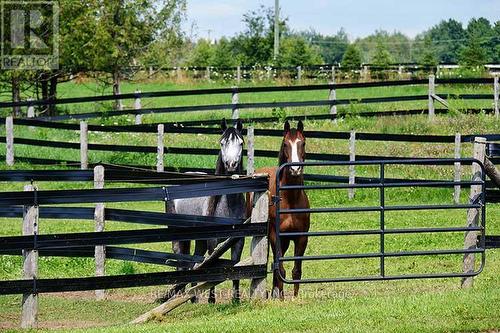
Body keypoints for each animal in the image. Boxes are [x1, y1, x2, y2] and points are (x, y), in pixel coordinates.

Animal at [168, 119, 246, 304]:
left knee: (193, 261)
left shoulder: (238, 240)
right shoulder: (213, 241)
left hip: (199, 239)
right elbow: (212, 266)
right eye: (222, 142)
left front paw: (236, 300)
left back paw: (193, 298)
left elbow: (236, 266)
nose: (231, 165)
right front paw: (212, 300)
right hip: (179, 235)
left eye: (240, 142)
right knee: (180, 260)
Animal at [254, 120, 308, 298]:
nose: (295, 169)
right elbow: (281, 270)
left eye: (302, 143)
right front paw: (281, 298)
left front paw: (295, 298)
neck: (290, 199)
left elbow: (296, 271)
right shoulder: (274, 236)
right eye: (285, 144)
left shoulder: (301, 238)